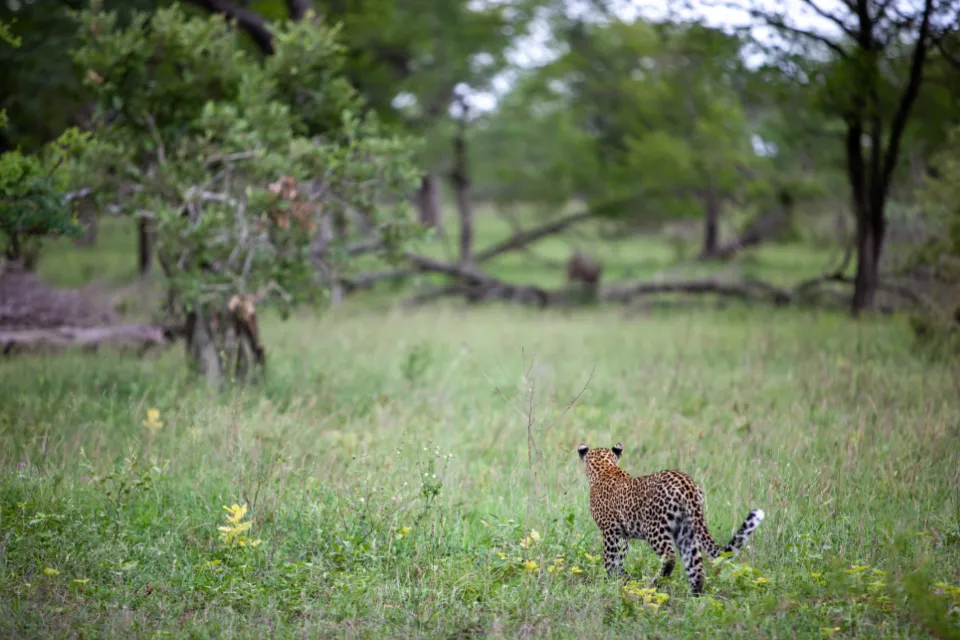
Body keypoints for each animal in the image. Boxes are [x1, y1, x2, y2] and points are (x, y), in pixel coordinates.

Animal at [577, 442, 764, 596]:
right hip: (687, 531)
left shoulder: (610, 532)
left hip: (655, 529)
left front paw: (607, 582)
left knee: (669, 557)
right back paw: (694, 602)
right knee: (696, 569)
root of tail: (687, 485)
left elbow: (609, 560)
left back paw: (655, 584)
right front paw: (621, 578)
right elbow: (619, 560)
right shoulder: (624, 536)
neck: (604, 468)